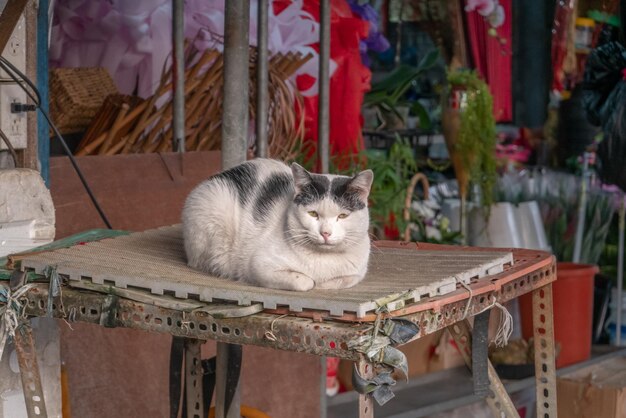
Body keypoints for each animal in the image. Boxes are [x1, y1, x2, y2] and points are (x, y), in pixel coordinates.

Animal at [183, 158, 372, 292]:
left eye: (343, 216)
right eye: (313, 213)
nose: (325, 233)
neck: (323, 261)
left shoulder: (358, 272)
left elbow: (341, 281)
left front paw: (323, 283)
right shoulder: (259, 265)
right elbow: (305, 282)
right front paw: (313, 282)